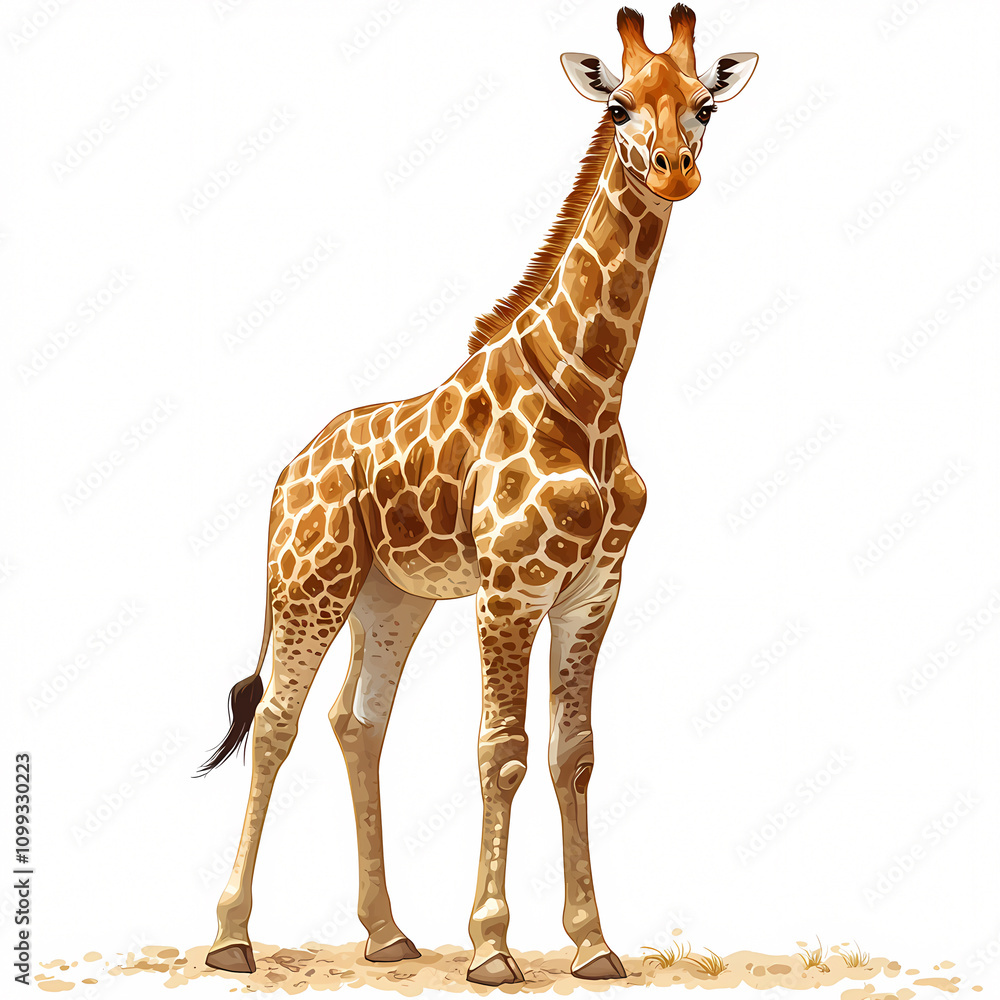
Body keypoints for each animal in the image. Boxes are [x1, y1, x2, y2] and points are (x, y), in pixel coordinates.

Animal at [200, 5, 757, 986]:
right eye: (618, 105)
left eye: (705, 106)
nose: (673, 169)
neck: (590, 394)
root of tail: (285, 473)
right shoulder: (509, 590)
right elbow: (503, 752)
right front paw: (494, 948)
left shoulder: (592, 590)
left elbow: (574, 754)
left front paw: (593, 945)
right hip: (310, 583)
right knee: (274, 722)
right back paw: (232, 938)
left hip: (391, 596)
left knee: (357, 722)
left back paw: (387, 934)